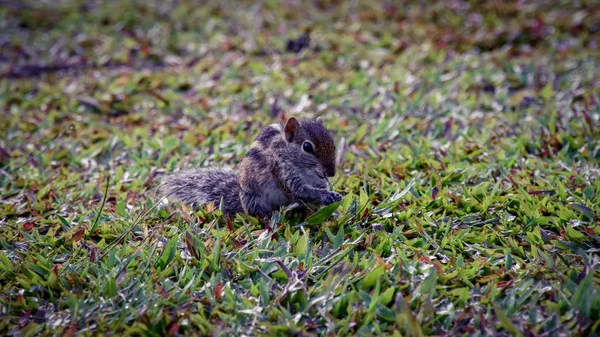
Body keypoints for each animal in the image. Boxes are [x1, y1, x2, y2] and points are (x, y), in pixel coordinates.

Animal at [161, 117, 342, 218]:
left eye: (333, 143)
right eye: (307, 147)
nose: (331, 172)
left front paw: (330, 193)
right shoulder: (281, 170)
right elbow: (300, 191)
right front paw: (327, 196)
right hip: (254, 200)